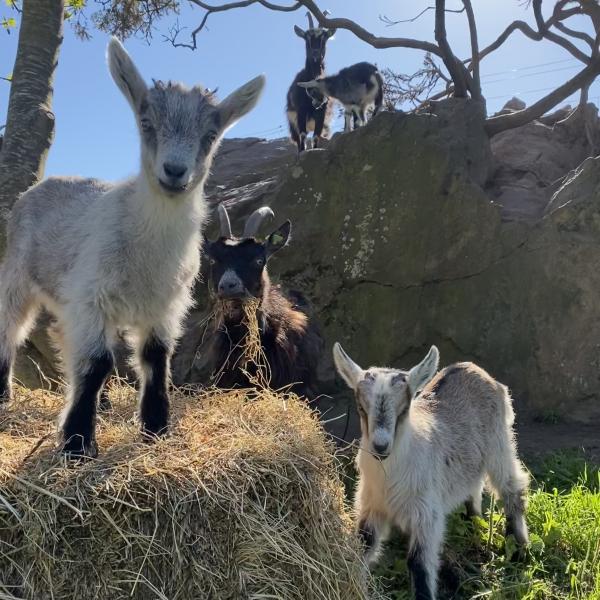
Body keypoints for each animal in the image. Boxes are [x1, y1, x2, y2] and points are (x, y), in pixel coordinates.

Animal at [0, 37, 264, 458]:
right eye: (147, 124)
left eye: (211, 136)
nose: (174, 171)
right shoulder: (92, 297)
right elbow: (96, 363)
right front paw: (77, 442)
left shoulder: (165, 306)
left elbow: (155, 359)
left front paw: (156, 428)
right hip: (19, 275)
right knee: (11, 328)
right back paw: (5, 395)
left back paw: (103, 404)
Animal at [284, 13, 332, 151]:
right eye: (307, 38)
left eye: (324, 38)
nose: (315, 53)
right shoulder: (301, 110)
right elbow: (303, 135)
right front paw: (302, 153)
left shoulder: (322, 112)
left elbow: (316, 136)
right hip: (292, 121)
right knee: (297, 138)